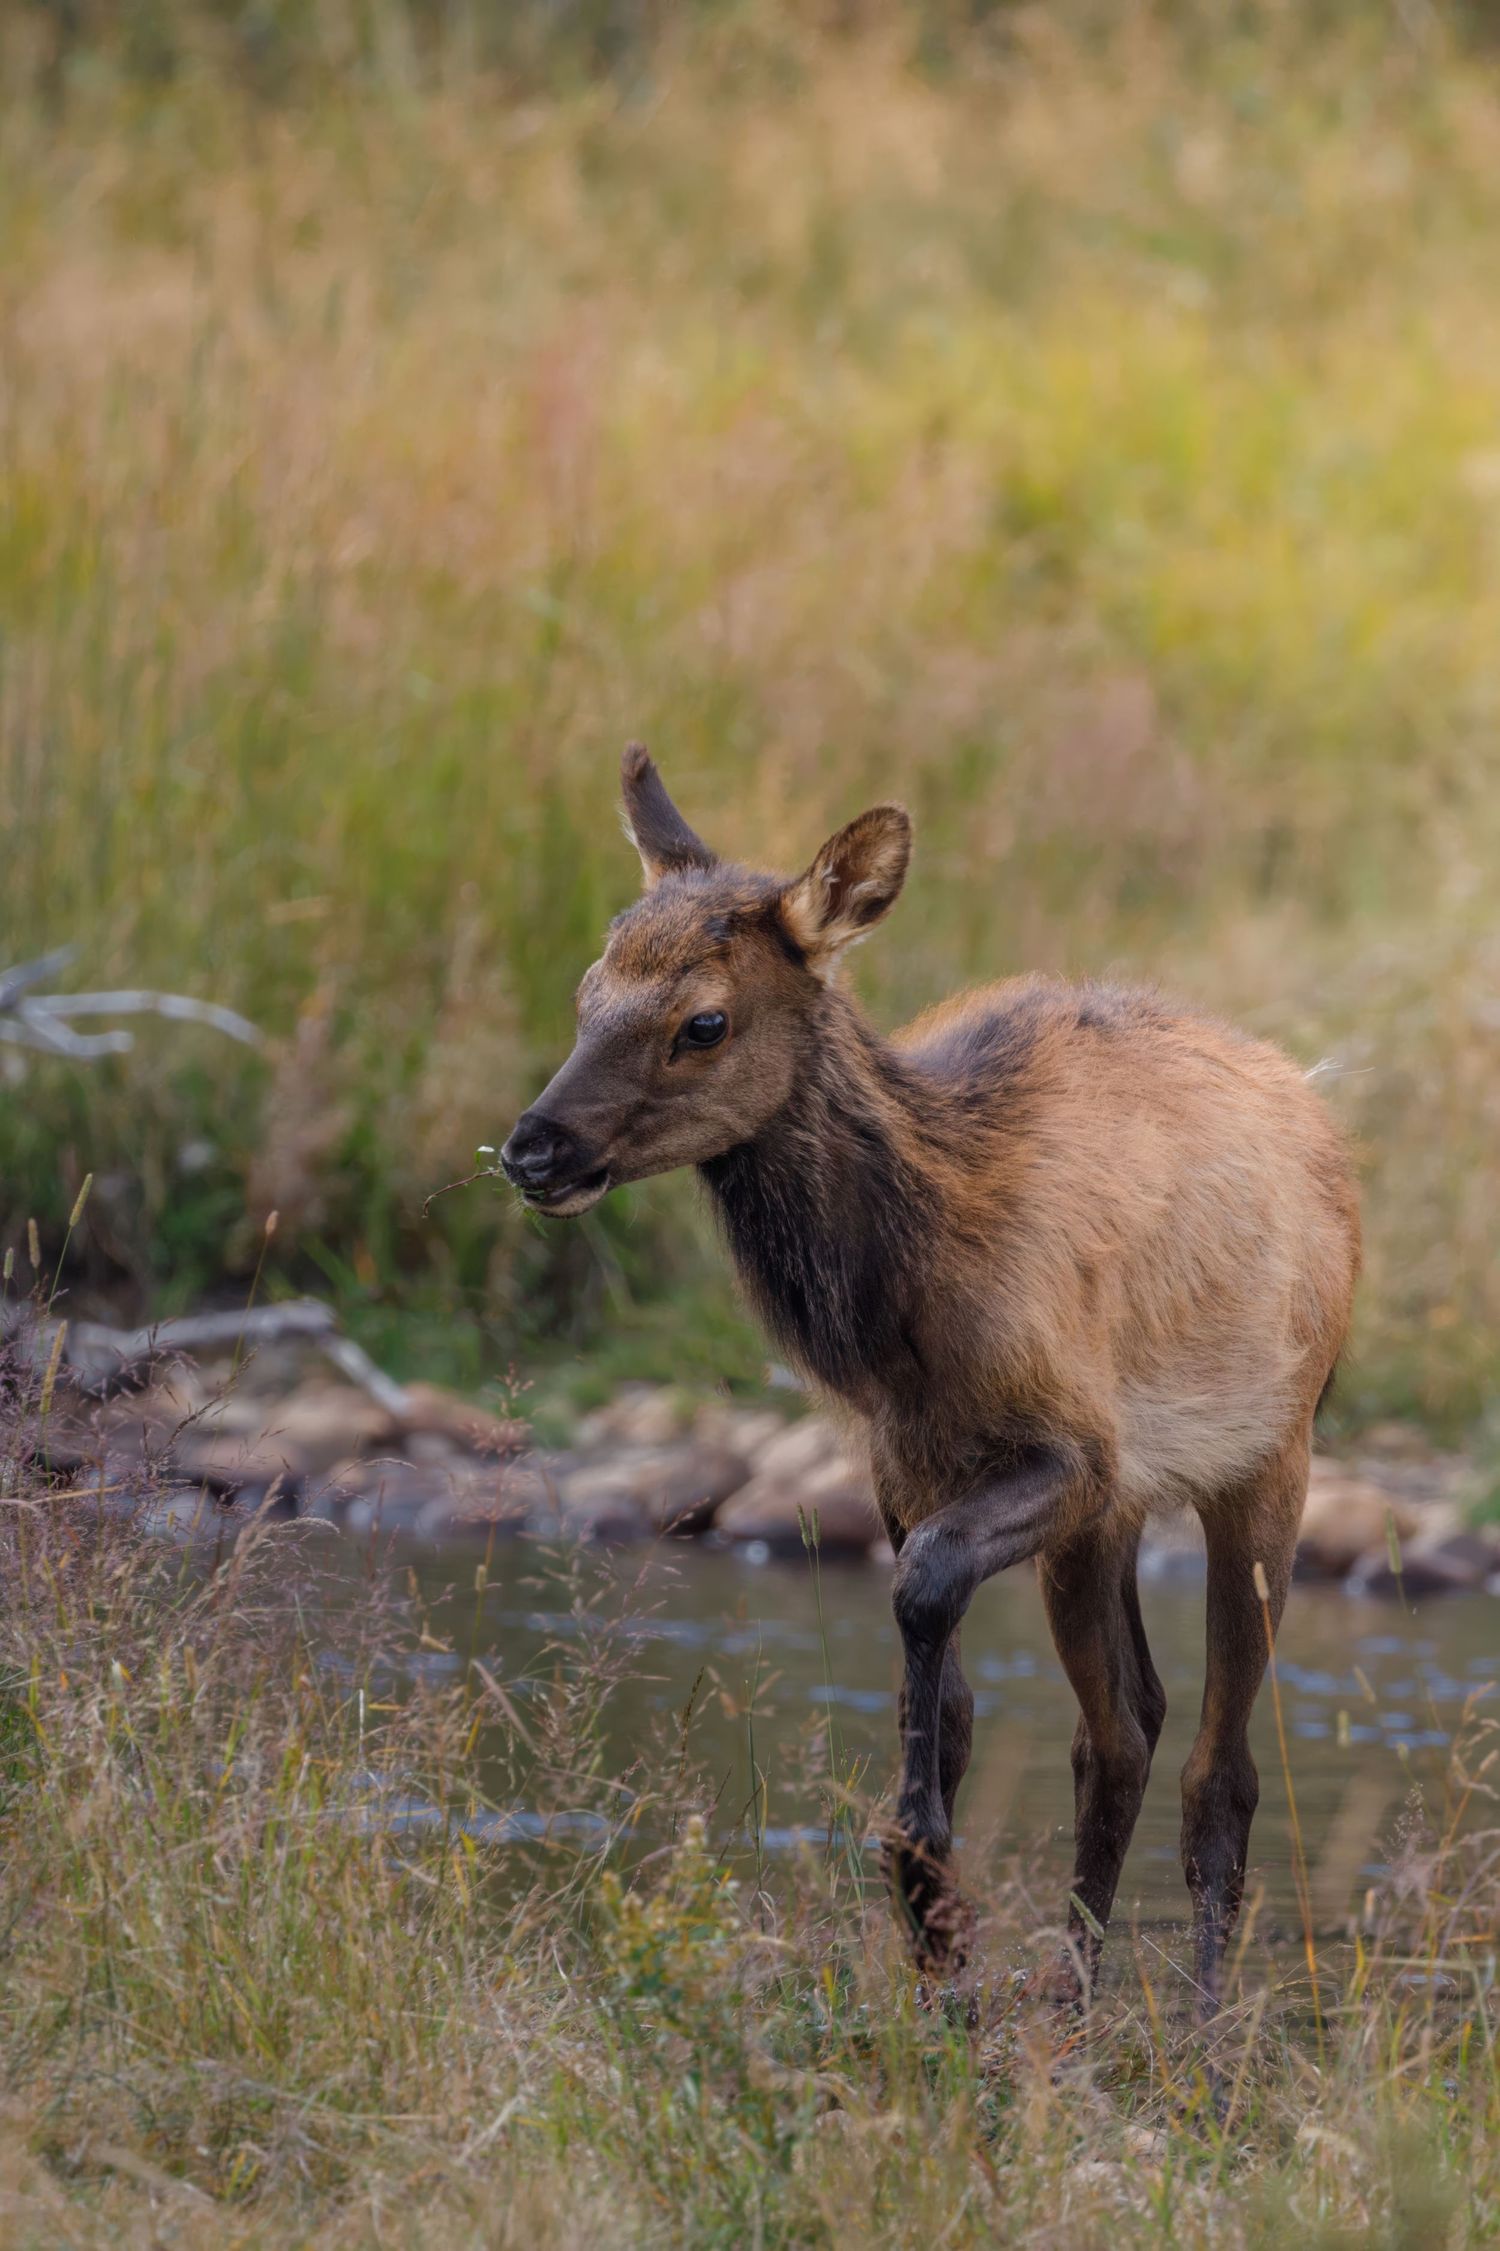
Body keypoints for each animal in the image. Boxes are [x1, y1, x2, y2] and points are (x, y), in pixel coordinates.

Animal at [501, 744, 1361, 2012]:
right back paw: (1070, 1987)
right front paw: (935, 1936)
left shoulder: (1076, 1448)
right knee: (1123, 1727)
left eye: (704, 1020)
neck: (906, 1310)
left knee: (1220, 1760)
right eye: (586, 991)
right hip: (1112, 1520)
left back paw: (1200, 2010)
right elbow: (944, 1685)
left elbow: (926, 1594)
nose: (534, 1149)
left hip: (1269, 1454)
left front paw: (921, 1864)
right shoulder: (913, 1460)